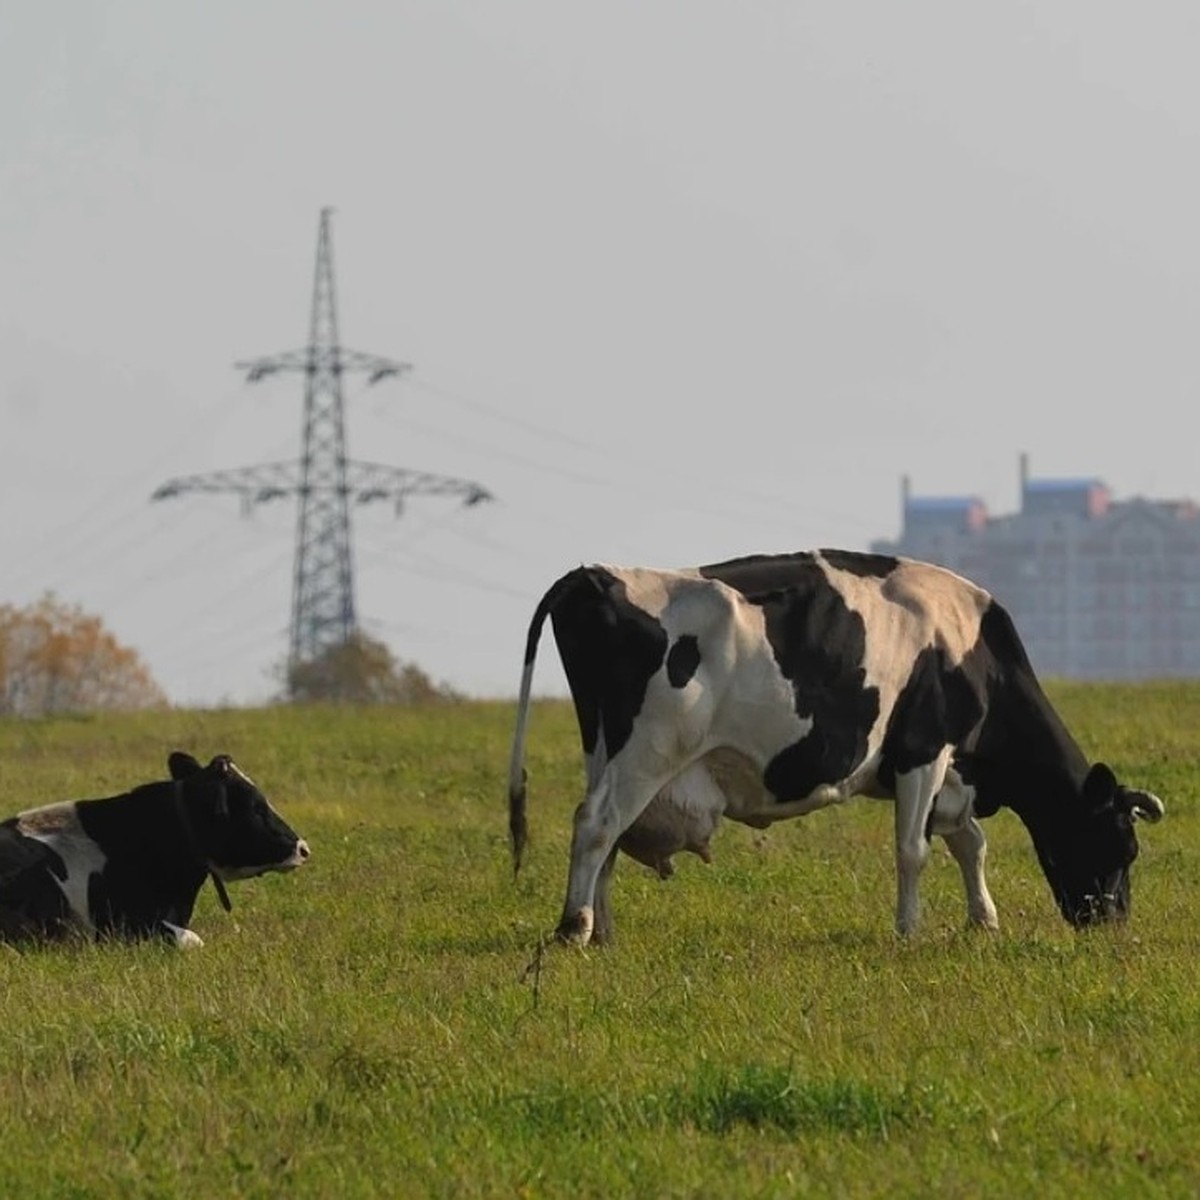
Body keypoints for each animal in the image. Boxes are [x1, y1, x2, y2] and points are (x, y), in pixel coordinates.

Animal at [511, 549, 1166, 940]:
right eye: (1124, 845)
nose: (1114, 924)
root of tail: (596, 575)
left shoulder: (952, 771)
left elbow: (969, 843)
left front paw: (984, 920)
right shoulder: (924, 750)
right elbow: (914, 850)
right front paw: (909, 931)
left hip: (605, 748)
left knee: (608, 836)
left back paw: (603, 930)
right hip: (650, 747)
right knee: (596, 824)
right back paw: (573, 928)